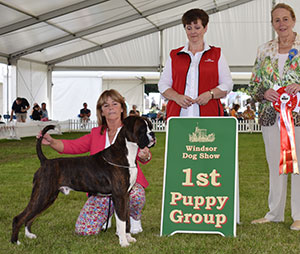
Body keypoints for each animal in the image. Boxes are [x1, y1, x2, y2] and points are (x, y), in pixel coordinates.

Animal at [10, 116, 156, 247]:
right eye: (142, 129)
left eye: (150, 126)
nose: (153, 134)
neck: (126, 152)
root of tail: (45, 161)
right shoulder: (119, 196)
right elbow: (121, 220)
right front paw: (124, 243)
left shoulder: (126, 195)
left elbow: (126, 219)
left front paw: (128, 237)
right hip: (42, 195)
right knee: (19, 217)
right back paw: (15, 242)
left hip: (47, 198)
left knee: (30, 217)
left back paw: (29, 235)